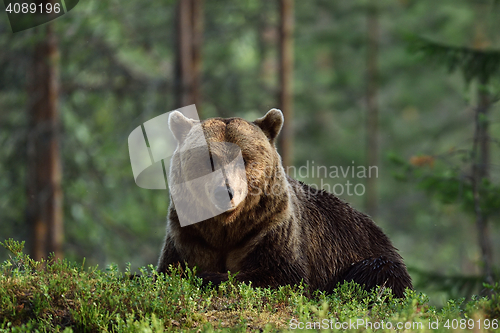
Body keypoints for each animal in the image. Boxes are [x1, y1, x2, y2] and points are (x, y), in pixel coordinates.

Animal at [158, 108, 412, 296]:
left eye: (244, 159)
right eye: (209, 159)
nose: (225, 191)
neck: (228, 225)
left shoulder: (270, 227)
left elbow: (280, 276)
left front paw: (208, 276)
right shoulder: (189, 234)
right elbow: (169, 269)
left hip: (367, 253)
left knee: (376, 273)